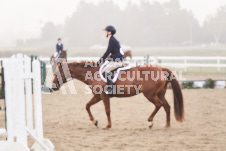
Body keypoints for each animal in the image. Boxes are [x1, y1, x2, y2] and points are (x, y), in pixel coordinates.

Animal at [52, 61, 185, 129]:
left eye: (59, 72)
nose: (53, 86)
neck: (93, 73)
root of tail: (161, 69)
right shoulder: (97, 96)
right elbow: (87, 106)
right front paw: (95, 121)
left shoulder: (104, 96)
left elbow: (107, 110)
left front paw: (108, 125)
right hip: (160, 94)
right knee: (167, 106)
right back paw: (167, 125)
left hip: (150, 95)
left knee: (159, 105)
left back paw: (150, 122)